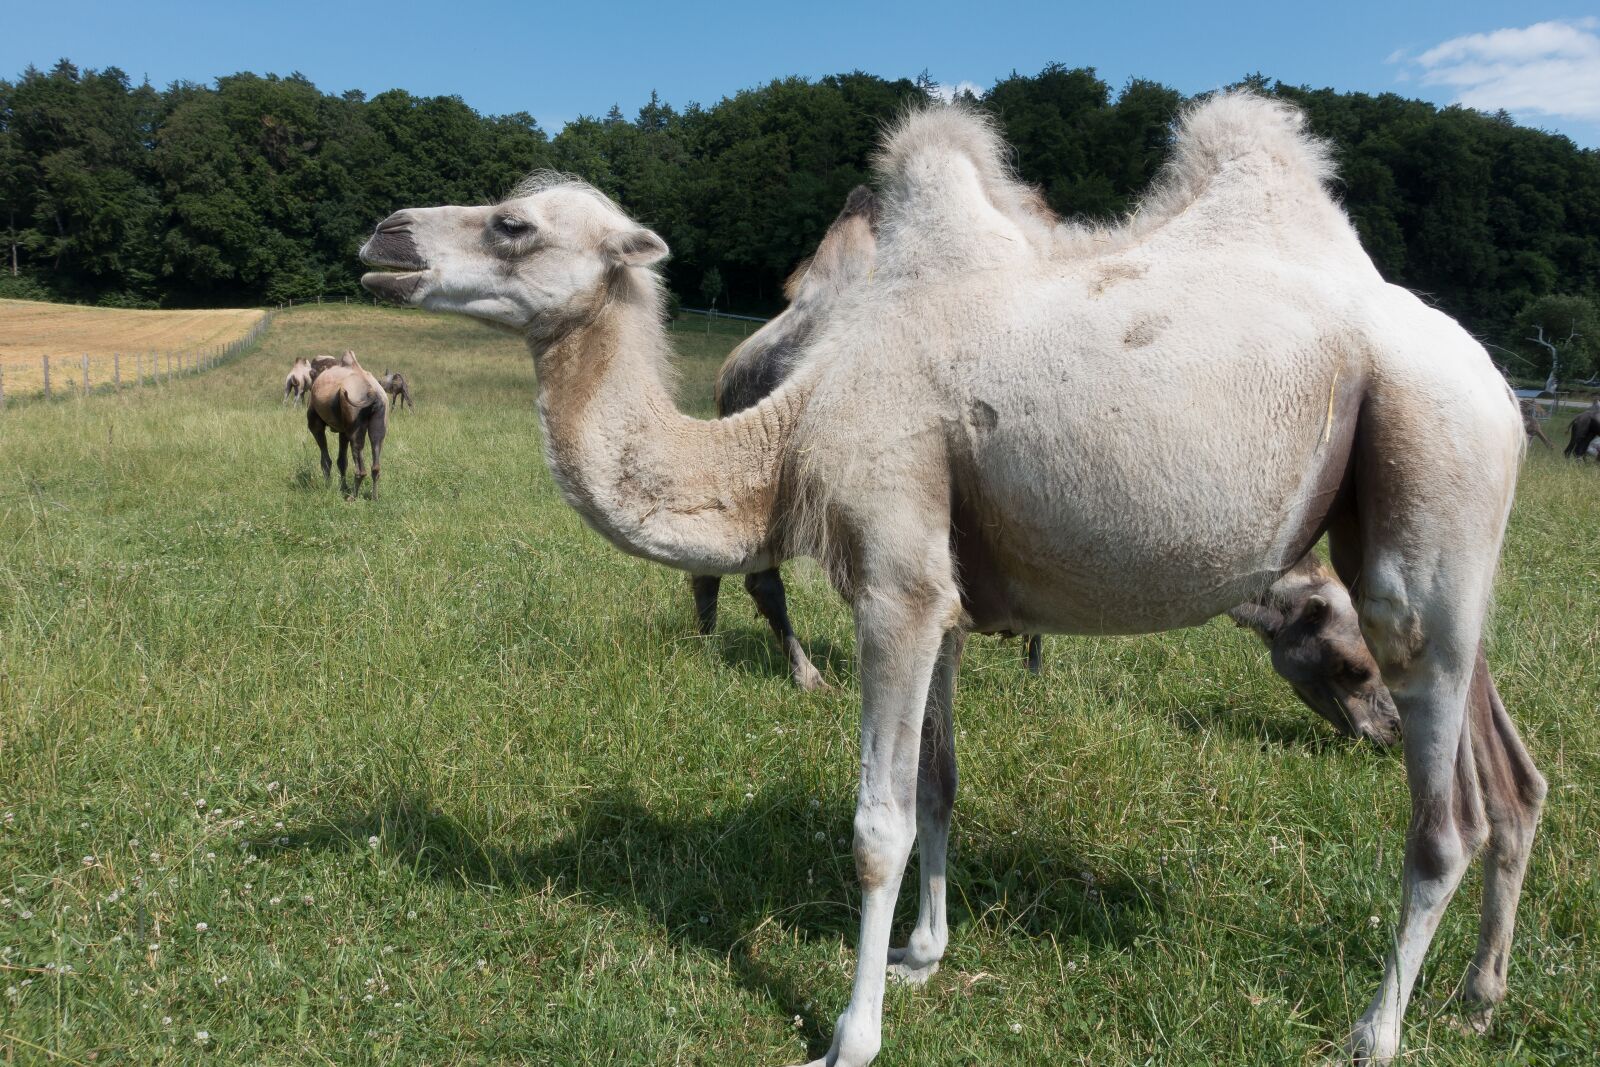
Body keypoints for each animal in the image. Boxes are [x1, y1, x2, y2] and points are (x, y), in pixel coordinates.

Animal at [306, 350, 388, 500]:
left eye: (310, 374)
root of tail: (373, 394)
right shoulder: (343, 431)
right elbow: (342, 461)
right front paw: (343, 487)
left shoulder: (316, 425)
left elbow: (326, 461)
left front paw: (328, 487)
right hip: (378, 421)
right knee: (376, 462)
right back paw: (374, 497)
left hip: (354, 424)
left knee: (360, 467)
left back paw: (352, 497)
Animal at [360, 94, 1543, 1066]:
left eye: (514, 225)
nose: (382, 237)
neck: (784, 432)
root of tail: (1501, 387)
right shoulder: (948, 597)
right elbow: (938, 783)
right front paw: (925, 953)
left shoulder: (893, 580)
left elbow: (875, 823)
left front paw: (852, 1033)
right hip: (1426, 548)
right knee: (1512, 774)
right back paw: (1478, 998)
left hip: (1426, 475)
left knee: (1444, 816)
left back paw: (1375, 1031)